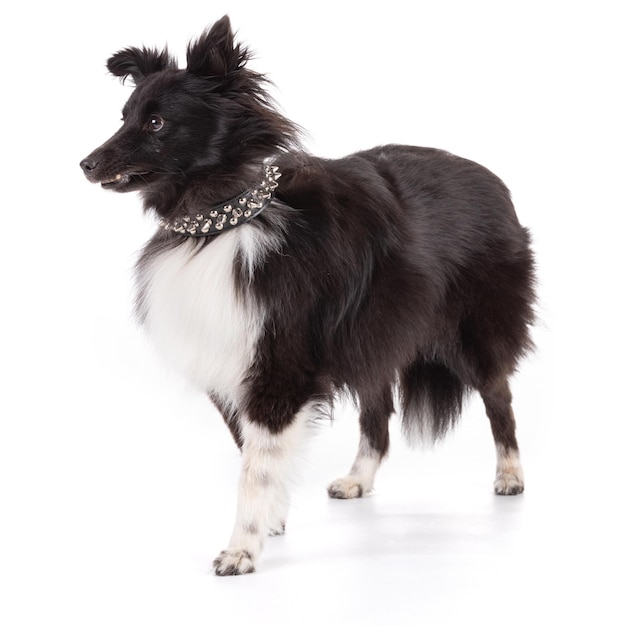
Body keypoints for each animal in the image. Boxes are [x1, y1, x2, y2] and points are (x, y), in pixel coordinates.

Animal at [80, 17, 532, 576]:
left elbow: (253, 469)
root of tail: (495, 183)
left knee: (499, 397)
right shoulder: (237, 363)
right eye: (124, 116)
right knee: (378, 416)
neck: (220, 222)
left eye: (158, 123)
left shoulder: (278, 367)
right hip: (372, 338)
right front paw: (272, 522)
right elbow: (252, 453)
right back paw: (359, 479)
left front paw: (242, 549)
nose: (85, 164)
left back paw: (510, 475)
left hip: (470, 334)